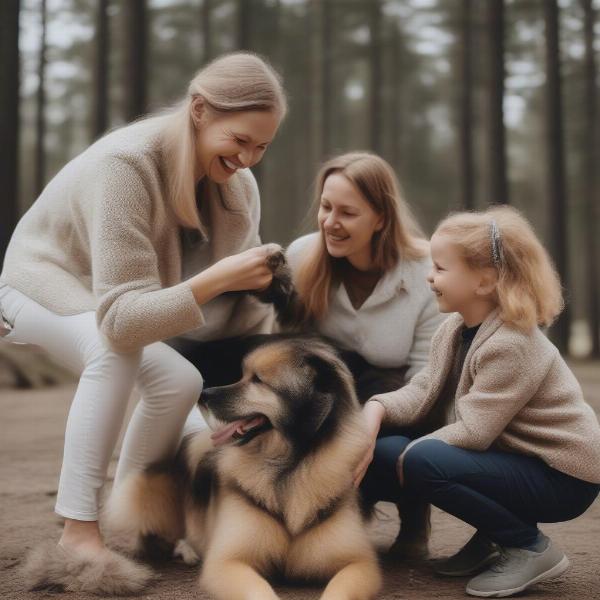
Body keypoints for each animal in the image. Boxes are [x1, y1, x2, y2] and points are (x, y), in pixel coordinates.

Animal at [106, 338, 382, 600]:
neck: (290, 465)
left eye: (257, 380)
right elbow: (259, 590)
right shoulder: (228, 562)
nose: (203, 394)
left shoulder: (359, 564)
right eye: (243, 374)